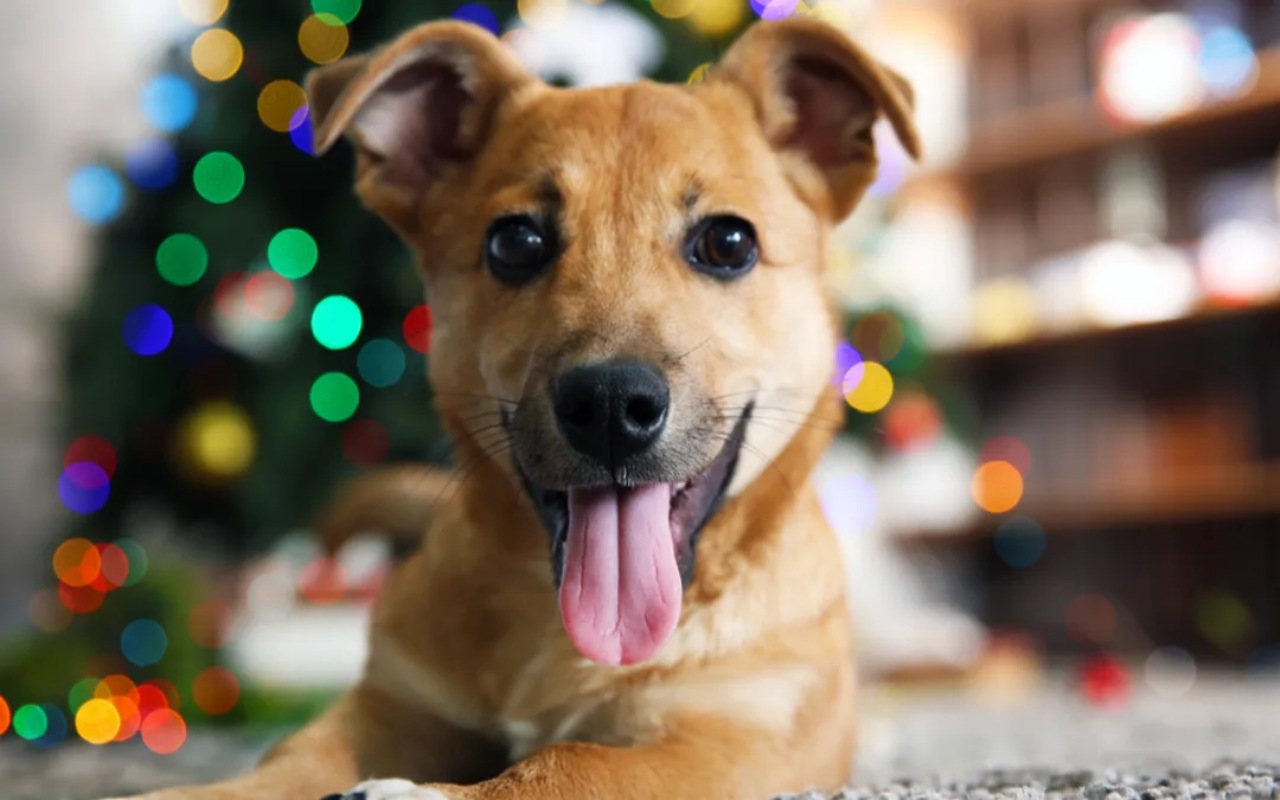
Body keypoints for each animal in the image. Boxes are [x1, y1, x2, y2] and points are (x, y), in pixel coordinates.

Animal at [120, 14, 916, 798]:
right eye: (515, 242)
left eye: (727, 241)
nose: (610, 406)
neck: (556, 631)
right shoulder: (389, 707)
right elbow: (280, 764)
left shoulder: (739, 741)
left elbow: (565, 764)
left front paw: (411, 791)